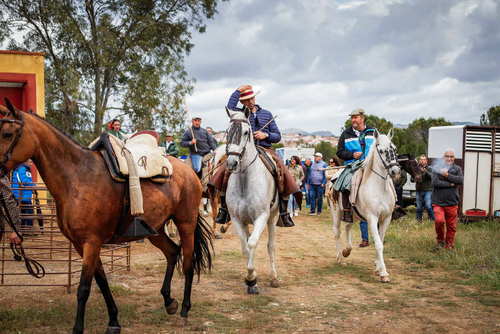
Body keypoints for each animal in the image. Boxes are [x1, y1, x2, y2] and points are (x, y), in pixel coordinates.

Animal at [0, 100, 213, 334]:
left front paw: (78, 328)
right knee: (173, 252)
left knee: (188, 263)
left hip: (186, 224)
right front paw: (113, 321)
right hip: (155, 230)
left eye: (8, 133)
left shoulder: (91, 243)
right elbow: (101, 282)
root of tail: (189, 171)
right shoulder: (81, 245)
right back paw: (168, 301)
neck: (76, 178)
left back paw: (184, 311)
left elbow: (84, 288)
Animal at [225, 105, 280, 294]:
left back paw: (274, 277)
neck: (245, 181)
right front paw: (252, 280)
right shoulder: (236, 220)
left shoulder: (261, 217)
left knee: (271, 246)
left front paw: (251, 279)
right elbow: (245, 247)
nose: (232, 163)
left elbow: (253, 243)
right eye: (227, 132)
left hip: (273, 218)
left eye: (246, 132)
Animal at [330, 128, 400, 282]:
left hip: (354, 215)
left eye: (394, 149)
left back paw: (347, 251)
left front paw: (377, 267)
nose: (395, 171)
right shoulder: (372, 218)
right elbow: (379, 244)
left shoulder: (386, 218)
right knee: (337, 232)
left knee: (347, 227)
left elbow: (380, 240)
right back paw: (339, 258)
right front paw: (384, 273)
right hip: (337, 212)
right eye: (381, 151)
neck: (380, 188)